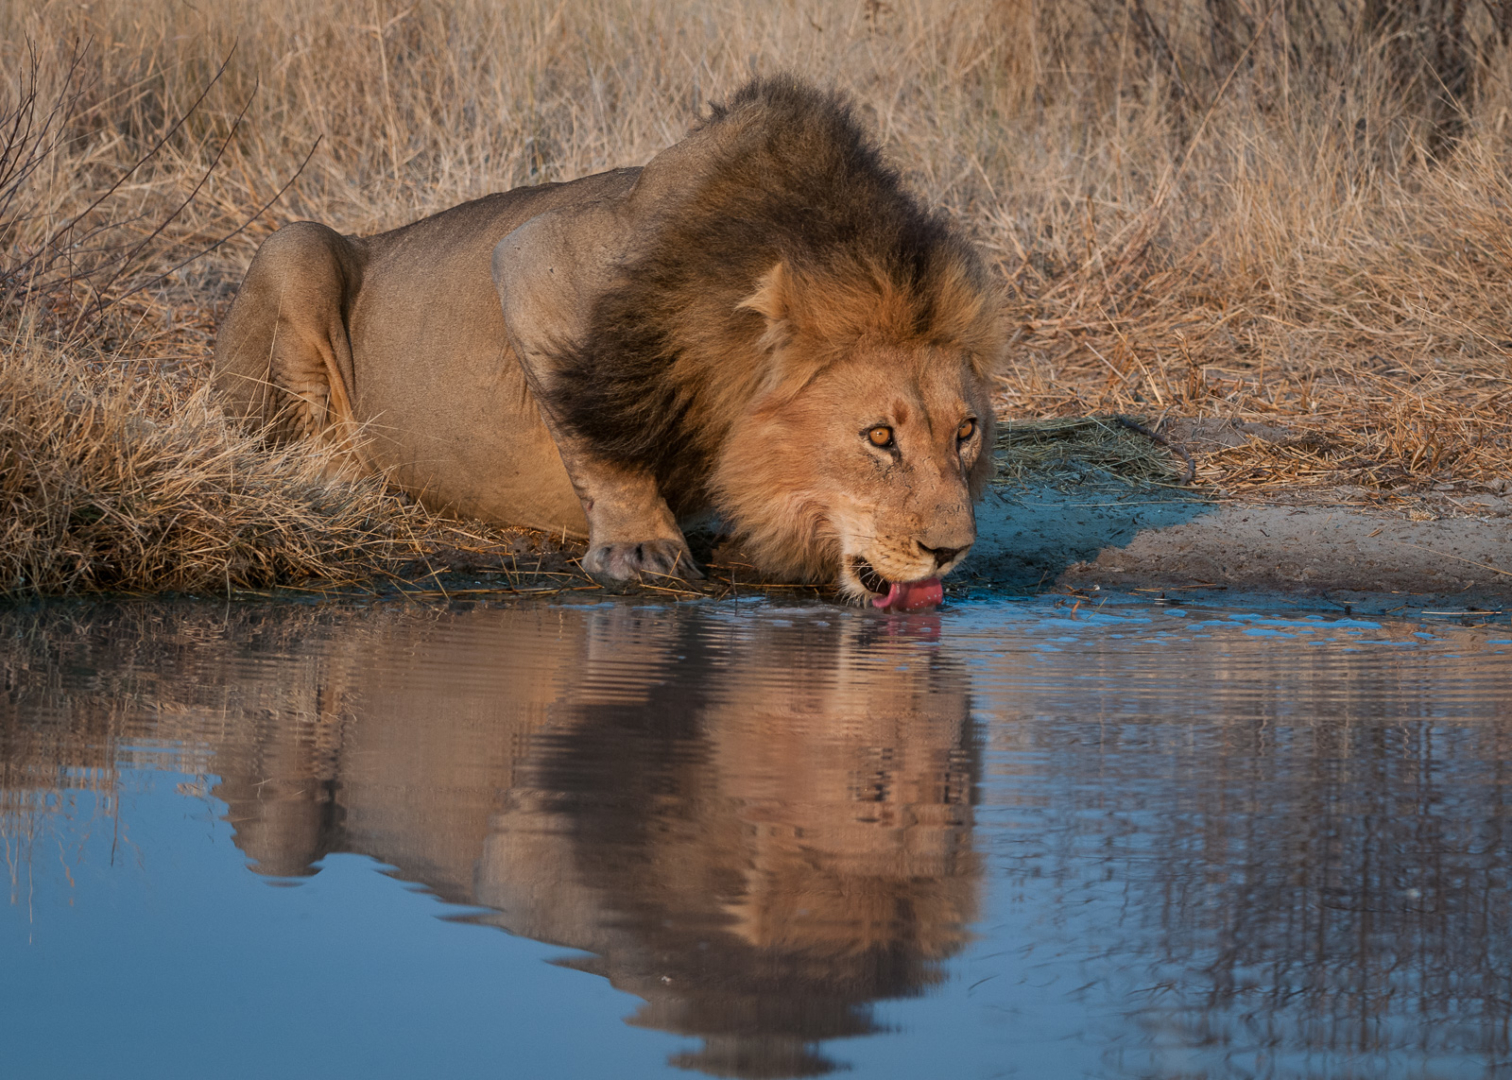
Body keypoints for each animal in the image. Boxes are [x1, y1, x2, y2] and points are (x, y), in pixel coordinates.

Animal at [213, 76, 1007, 608]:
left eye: (966, 432)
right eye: (879, 438)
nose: (951, 553)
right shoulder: (533, 257)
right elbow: (597, 439)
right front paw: (641, 549)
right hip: (297, 245)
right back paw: (342, 478)